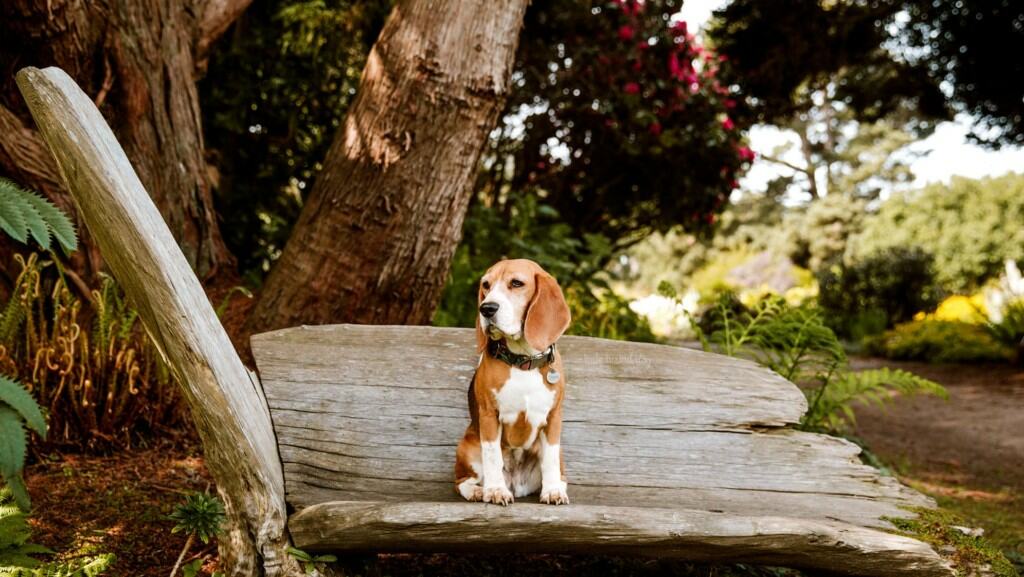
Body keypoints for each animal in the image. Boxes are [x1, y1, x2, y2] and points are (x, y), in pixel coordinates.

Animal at [458, 258, 577, 506]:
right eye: (486, 285)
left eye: (516, 283)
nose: (487, 308)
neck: (523, 361)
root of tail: (516, 484)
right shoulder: (489, 415)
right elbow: (492, 457)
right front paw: (495, 490)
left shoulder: (554, 418)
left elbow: (550, 459)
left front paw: (552, 490)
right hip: (467, 447)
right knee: (462, 481)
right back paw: (478, 491)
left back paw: (557, 486)